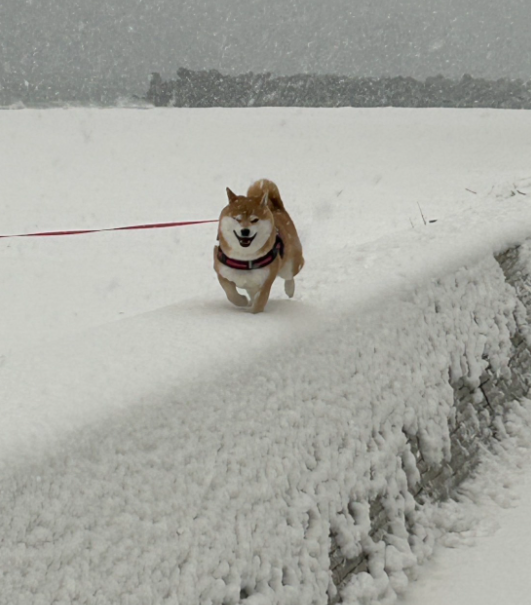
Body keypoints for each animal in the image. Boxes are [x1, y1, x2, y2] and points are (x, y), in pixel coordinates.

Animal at [212, 178, 304, 312]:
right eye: (237, 219)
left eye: (254, 220)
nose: (245, 231)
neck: (245, 259)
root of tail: (277, 209)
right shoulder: (222, 272)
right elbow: (230, 293)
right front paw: (242, 301)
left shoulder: (266, 280)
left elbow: (259, 302)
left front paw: (253, 313)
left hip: (289, 264)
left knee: (291, 274)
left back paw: (289, 289)